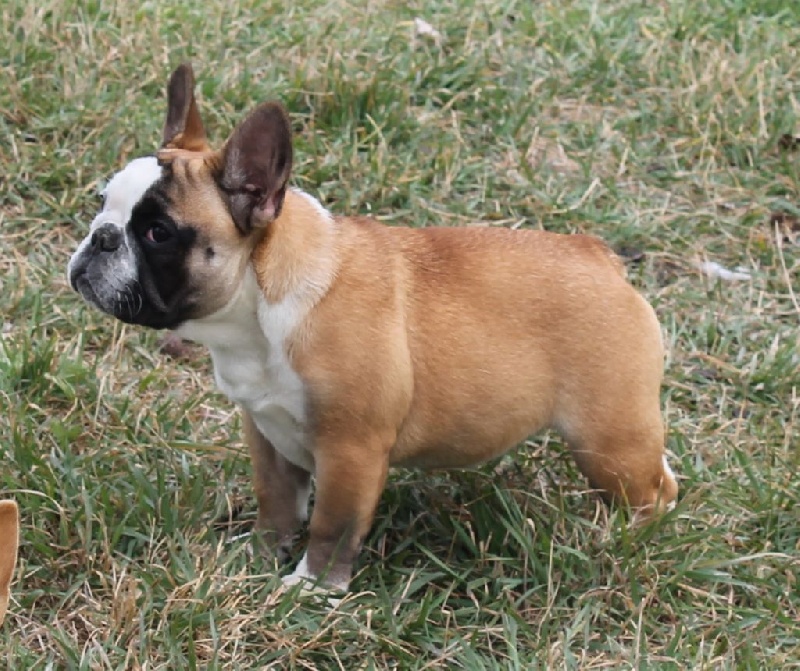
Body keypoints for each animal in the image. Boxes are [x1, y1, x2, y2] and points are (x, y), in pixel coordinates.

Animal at [68, 63, 678, 591]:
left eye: (158, 234)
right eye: (102, 204)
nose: (101, 237)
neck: (261, 309)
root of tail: (600, 257)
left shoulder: (350, 452)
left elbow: (332, 527)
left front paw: (309, 590)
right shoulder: (266, 432)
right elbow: (276, 503)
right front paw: (259, 559)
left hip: (607, 438)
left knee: (650, 489)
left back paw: (627, 542)